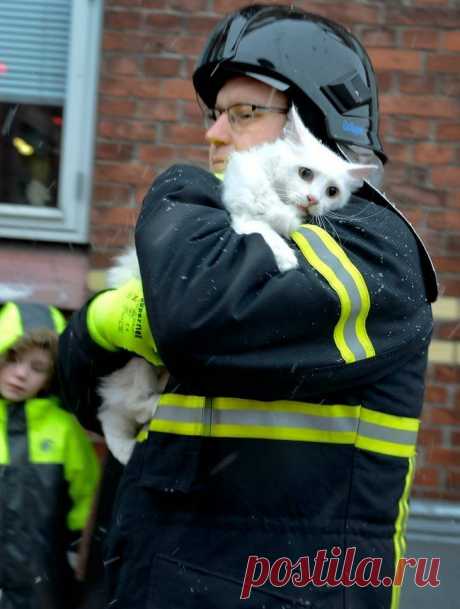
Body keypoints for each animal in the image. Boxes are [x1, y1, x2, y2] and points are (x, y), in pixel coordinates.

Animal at [223, 107, 378, 270]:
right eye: (305, 173)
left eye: (332, 191)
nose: (313, 199)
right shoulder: (242, 213)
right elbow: (262, 229)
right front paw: (285, 257)